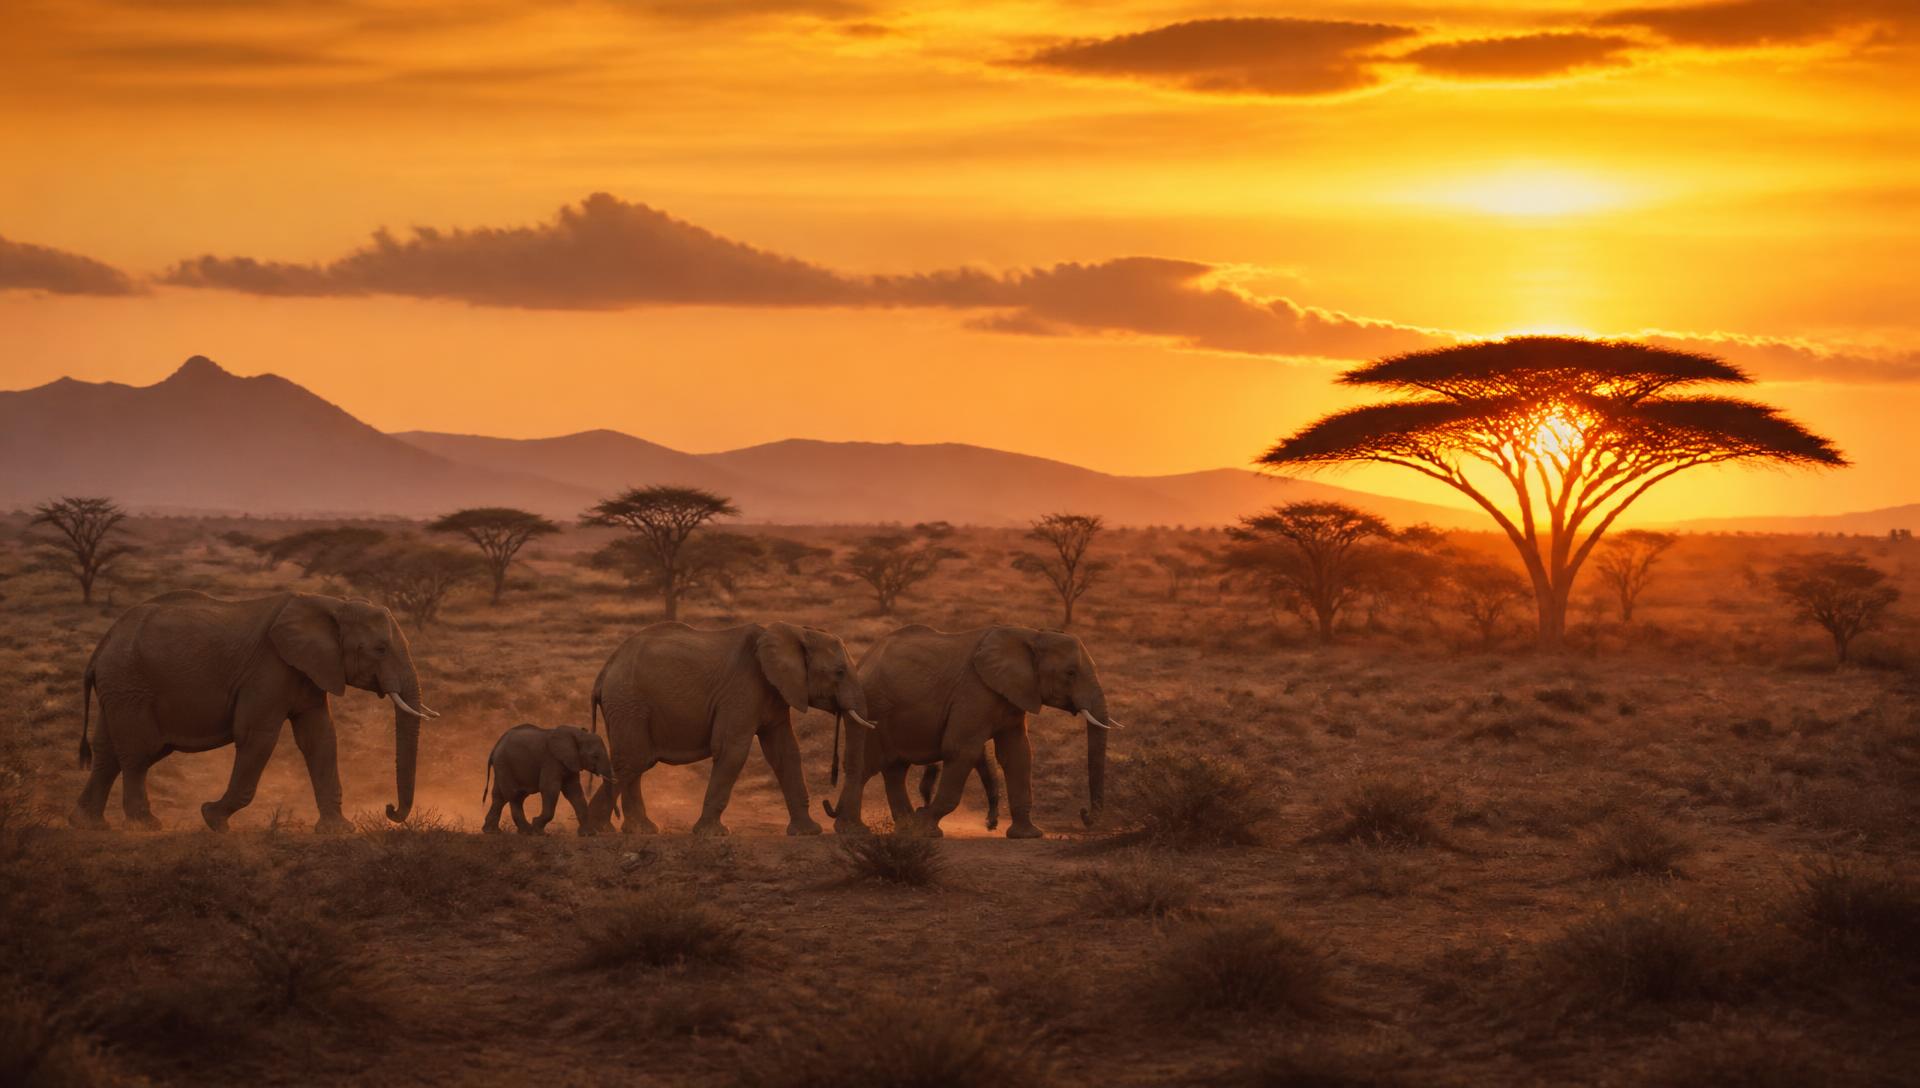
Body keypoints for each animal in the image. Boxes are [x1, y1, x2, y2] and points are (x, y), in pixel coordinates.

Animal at [71, 590, 437, 832]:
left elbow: (319, 737)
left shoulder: (309, 670)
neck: (334, 605)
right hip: (131, 685)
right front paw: (213, 819)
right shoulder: (268, 668)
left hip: (119, 688)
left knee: (108, 753)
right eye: (381, 649)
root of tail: (102, 645)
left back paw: (90, 824)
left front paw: (338, 831)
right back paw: (145, 824)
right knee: (137, 753)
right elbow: (257, 736)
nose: (390, 809)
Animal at [481, 724, 615, 835]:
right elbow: (550, 788)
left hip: (502, 767)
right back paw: (528, 831)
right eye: (595, 756)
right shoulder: (551, 760)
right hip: (505, 765)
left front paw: (588, 834)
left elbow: (574, 791)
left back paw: (492, 831)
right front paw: (537, 828)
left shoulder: (571, 762)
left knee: (500, 797)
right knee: (515, 796)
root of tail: (495, 747)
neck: (576, 733)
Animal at [584, 621, 873, 836]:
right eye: (839, 672)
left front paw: (807, 832)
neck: (796, 631)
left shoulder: (775, 693)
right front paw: (712, 834)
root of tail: (604, 671)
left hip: (627, 705)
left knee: (636, 761)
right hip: (628, 702)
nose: (828, 804)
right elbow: (731, 749)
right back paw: (598, 830)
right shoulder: (741, 690)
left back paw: (639, 830)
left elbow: (785, 753)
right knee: (632, 758)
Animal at [823, 625, 1118, 839]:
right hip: (871, 710)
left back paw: (901, 827)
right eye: (1071, 673)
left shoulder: (1013, 695)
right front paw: (926, 829)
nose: (1084, 814)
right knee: (867, 767)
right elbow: (960, 750)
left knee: (894, 770)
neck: (1031, 635)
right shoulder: (974, 691)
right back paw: (856, 830)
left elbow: (1018, 754)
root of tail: (862, 661)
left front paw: (1028, 835)